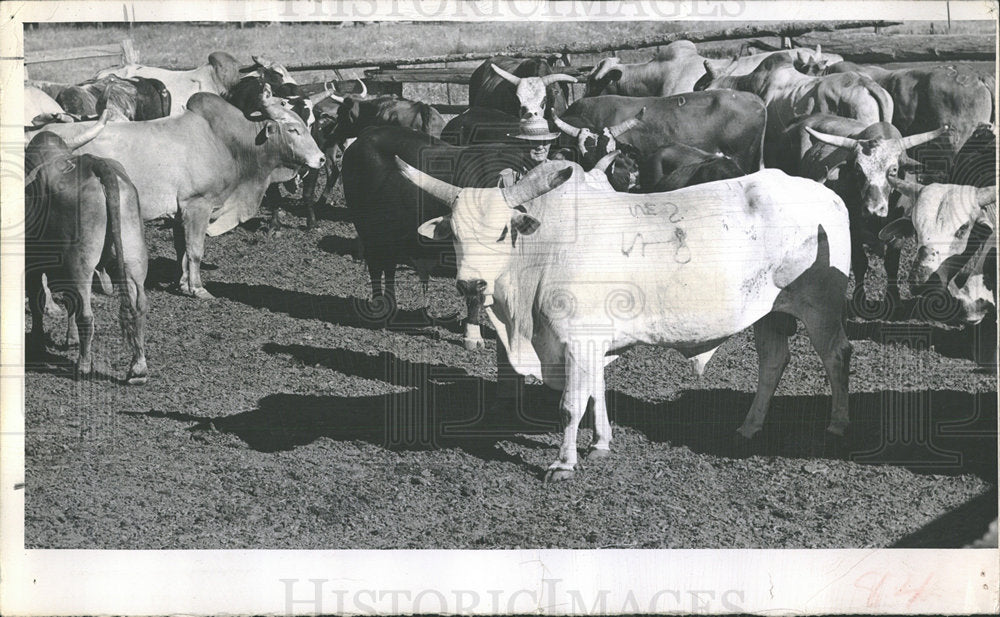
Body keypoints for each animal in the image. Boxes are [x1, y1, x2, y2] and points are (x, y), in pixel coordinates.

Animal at [25, 129, 148, 384]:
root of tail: (96, 164)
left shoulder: (32, 263)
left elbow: (37, 300)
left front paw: (38, 342)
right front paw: (69, 338)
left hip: (81, 264)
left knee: (87, 315)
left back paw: (83, 366)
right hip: (133, 258)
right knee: (139, 307)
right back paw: (138, 369)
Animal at [45, 92, 324, 299]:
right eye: (293, 129)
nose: (321, 158)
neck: (223, 142)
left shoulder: (180, 212)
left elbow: (182, 250)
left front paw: (182, 284)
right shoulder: (197, 205)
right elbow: (195, 249)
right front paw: (198, 289)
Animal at [398, 158, 853, 480]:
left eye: (500, 232)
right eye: (456, 234)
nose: (471, 284)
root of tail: (829, 195)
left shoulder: (578, 338)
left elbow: (571, 405)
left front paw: (563, 464)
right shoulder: (593, 340)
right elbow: (596, 392)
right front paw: (600, 444)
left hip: (822, 308)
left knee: (836, 355)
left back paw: (837, 425)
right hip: (769, 313)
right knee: (773, 362)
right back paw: (749, 427)